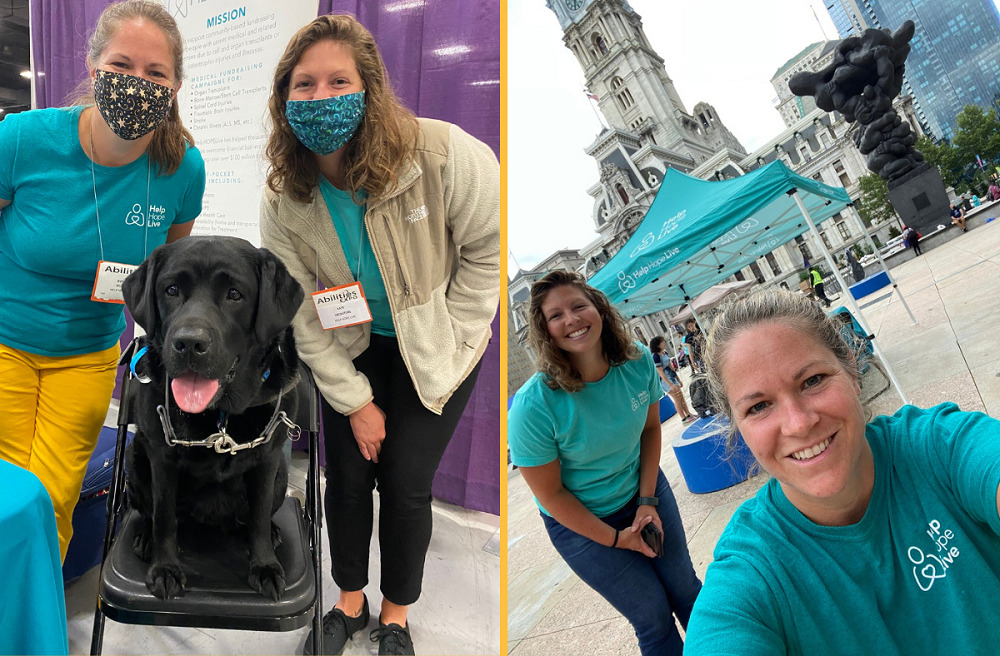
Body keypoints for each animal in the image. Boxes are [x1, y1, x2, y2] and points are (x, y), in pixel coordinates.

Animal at [120, 236, 302, 600]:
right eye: (171, 290)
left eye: (234, 294)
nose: (189, 343)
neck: (221, 418)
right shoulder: (161, 457)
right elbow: (164, 517)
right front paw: (165, 568)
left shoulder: (269, 459)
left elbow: (259, 516)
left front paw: (264, 565)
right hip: (135, 460)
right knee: (150, 512)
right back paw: (145, 538)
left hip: (281, 474)